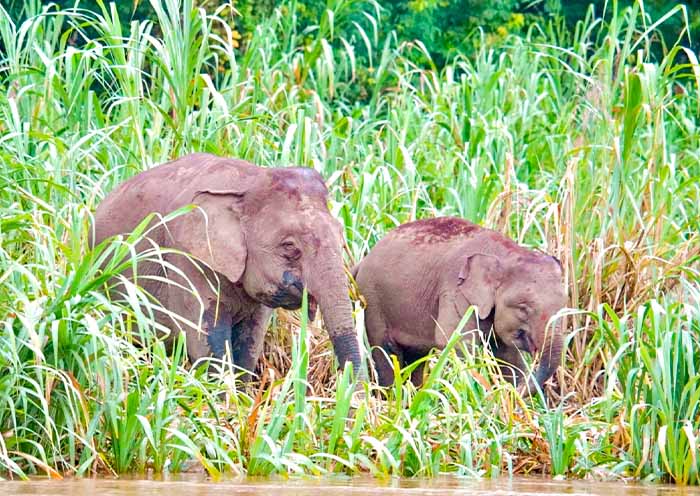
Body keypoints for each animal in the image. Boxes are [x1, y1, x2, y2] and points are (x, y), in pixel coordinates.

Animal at [91, 152, 363, 380]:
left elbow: (250, 342)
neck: (249, 181)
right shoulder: (186, 258)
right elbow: (206, 344)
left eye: (341, 237)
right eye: (289, 246)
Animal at [352, 216, 566, 392]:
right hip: (372, 300)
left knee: (416, 357)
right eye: (523, 308)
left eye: (564, 306)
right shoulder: (455, 292)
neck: (506, 254)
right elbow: (455, 342)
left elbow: (509, 357)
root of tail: (361, 262)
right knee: (386, 354)